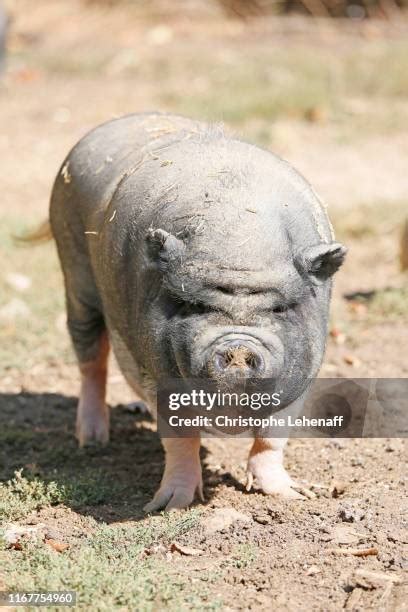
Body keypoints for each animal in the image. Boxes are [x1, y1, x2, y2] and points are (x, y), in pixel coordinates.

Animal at [48, 111, 348, 512]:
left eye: (280, 308)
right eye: (194, 305)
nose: (238, 347)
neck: (240, 241)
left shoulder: (306, 369)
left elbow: (273, 436)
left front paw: (291, 496)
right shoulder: (155, 369)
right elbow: (180, 438)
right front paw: (169, 506)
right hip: (73, 268)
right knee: (91, 358)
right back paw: (92, 440)